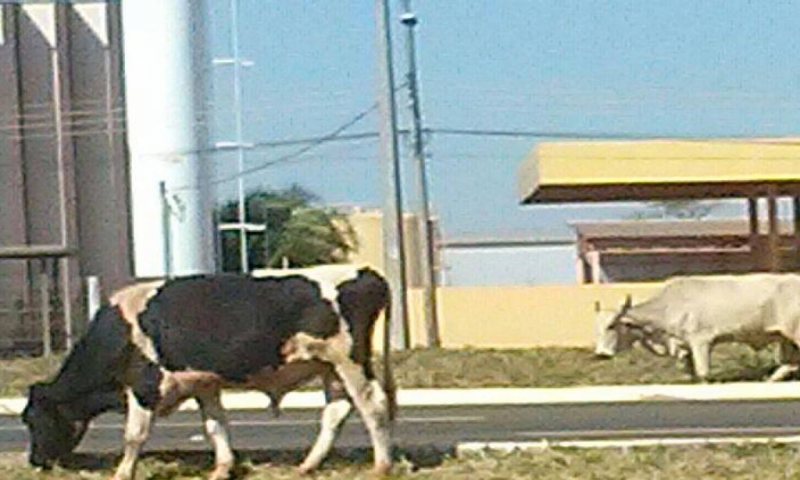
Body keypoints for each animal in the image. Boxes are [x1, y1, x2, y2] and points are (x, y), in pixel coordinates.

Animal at [21, 266, 390, 480]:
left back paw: (381, 466)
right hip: (330, 368)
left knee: (373, 406)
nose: (35, 461)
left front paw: (123, 473)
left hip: (349, 360)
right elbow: (215, 426)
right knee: (336, 412)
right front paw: (222, 468)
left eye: (32, 419)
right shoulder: (203, 383)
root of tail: (366, 272)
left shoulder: (144, 384)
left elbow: (134, 435)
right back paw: (307, 466)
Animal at [592, 274, 800, 382]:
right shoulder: (684, 346)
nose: (601, 354)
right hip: (785, 339)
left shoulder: (701, 342)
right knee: (789, 363)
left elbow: (702, 373)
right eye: (596, 328)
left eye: (612, 325)